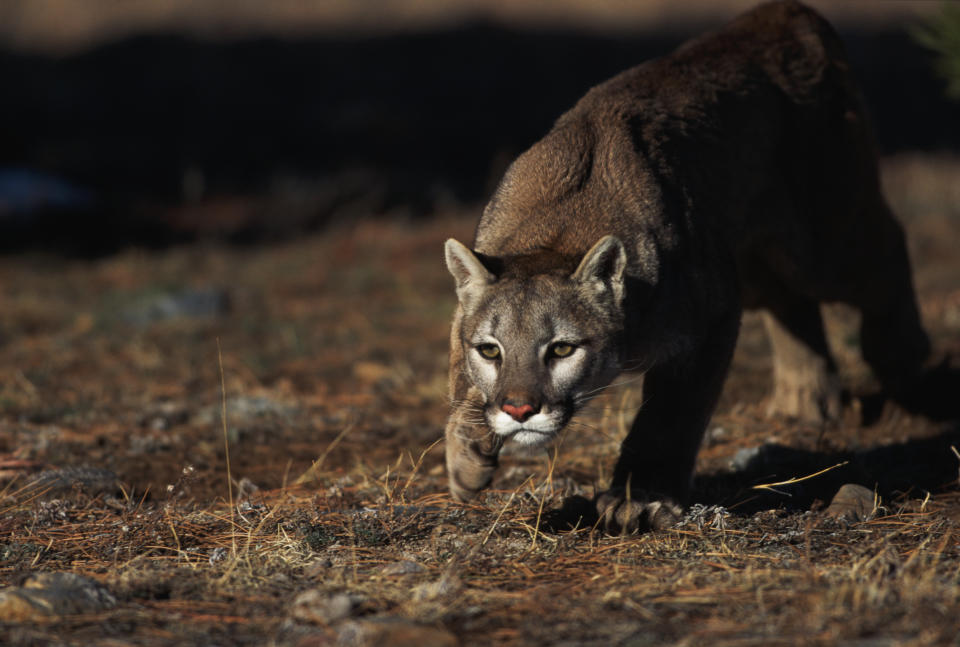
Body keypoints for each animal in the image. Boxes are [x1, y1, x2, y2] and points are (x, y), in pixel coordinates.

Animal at [442, 0, 928, 536]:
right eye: (490, 350)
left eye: (563, 349)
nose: (519, 408)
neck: (560, 232)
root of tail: (777, 10)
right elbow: (457, 373)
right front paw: (467, 454)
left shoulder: (714, 315)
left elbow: (672, 415)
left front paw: (642, 496)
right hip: (757, 258)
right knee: (789, 300)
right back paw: (804, 398)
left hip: (823, 238)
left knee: (887, 249)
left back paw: (899, 355)